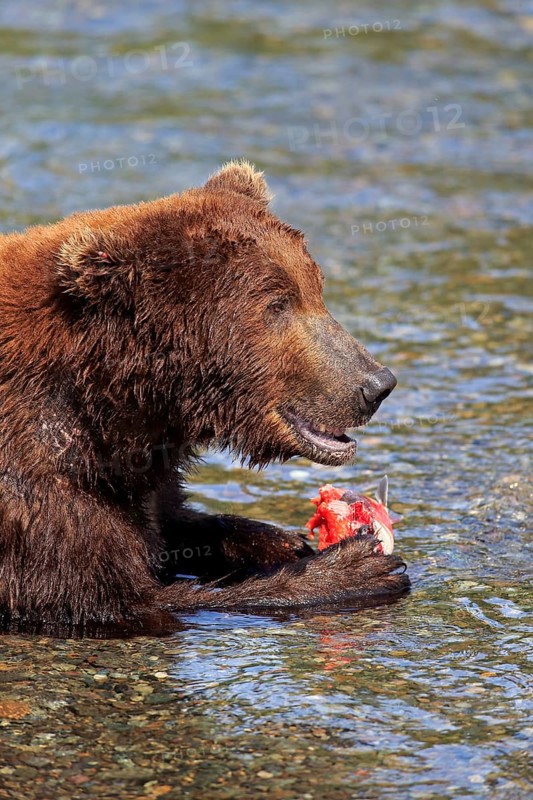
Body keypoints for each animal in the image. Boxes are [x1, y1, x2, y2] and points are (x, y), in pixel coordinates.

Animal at [0, 161, 408, 635]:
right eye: (277, 304)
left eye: (316, 288)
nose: (376, 384)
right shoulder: (36, 483)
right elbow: (116, 597)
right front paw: (351, 569)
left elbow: (175, 523)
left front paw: (286, 543)